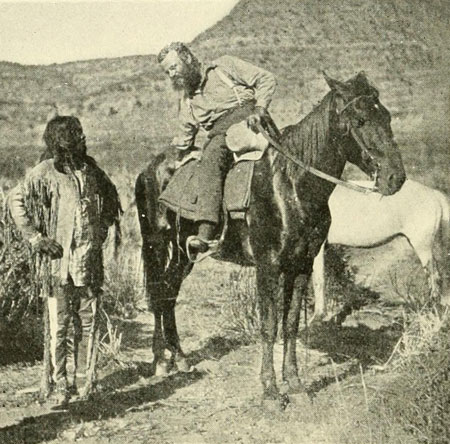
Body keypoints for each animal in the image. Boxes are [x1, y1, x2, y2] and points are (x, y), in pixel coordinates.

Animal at [135, 72, 406, 398]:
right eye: (361, 119)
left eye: (387, 116)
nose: (395, 177)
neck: (290, 184)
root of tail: (150, 169)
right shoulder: (267, 266)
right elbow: (268, 325)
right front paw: (270, 391)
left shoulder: (301, 266)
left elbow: (289, 324)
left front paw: (296, 383)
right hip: (157, 244)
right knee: (159, 292)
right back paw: (160, 361)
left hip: (183, 254)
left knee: (168, 292)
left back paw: (179, 358)